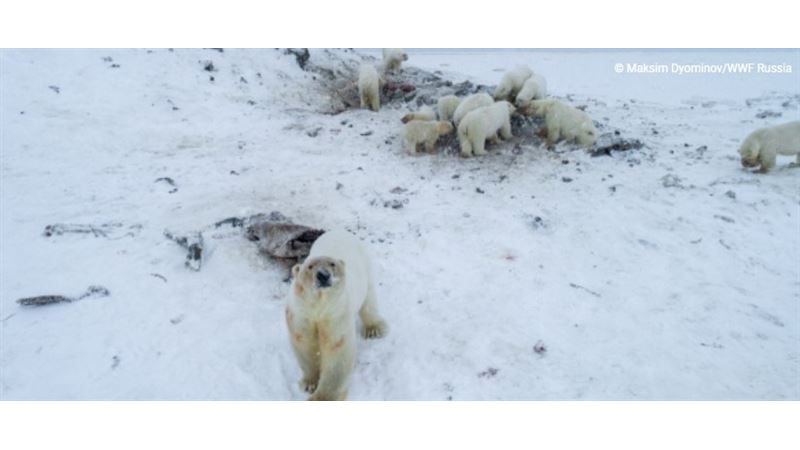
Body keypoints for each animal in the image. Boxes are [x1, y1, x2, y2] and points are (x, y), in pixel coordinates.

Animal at [286, 229, 387, 401]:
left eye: (332, 264)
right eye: (310, 266)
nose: (323, 275)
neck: (319, 306)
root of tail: (339, 231)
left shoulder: (336, 314)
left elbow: (337, 351)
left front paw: (321, 397)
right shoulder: (301, 314)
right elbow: (304, 342)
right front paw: (309, 383)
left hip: (365, 267)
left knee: (369, 299)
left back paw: (374, 329)